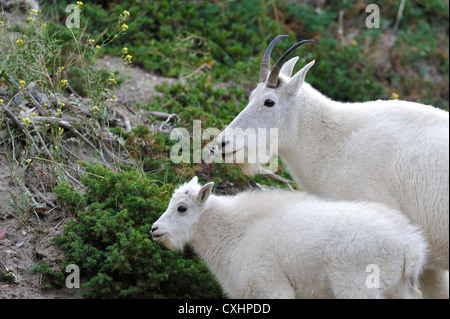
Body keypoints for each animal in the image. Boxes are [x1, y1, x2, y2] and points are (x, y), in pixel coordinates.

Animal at [153, 178, 428, 300]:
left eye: (181, 208)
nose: (155, 230)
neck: (237, 234)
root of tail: (411, 245)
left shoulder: (271, 287)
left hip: (359, 287)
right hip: (398, 289)